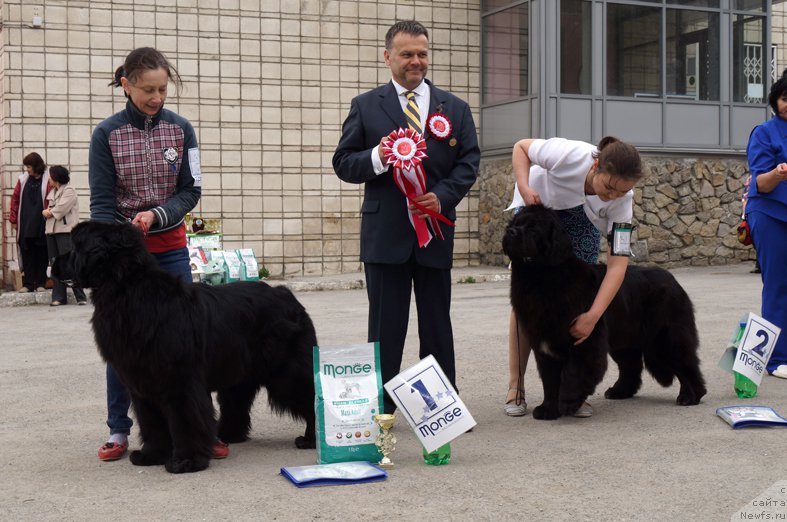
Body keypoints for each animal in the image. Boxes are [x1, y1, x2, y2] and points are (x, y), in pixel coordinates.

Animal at [52, 219, 318, 472]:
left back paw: (312, 439)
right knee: (236, 402)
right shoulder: (141, 384)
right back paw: (227, 436)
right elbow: (152, 423)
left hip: (286, 373)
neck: (127, 290)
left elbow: (184, 421)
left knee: (311, 396)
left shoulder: (179, 382)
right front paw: (152, 456)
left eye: (75, 246)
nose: (54, 261)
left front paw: (186, 462)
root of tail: (286, 294)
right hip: (239, 373)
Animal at [504, 204, 708, 418]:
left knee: (686, 364)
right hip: (626, 338)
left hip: (665, 339)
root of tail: (673, 280)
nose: (510, 232)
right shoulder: (543, 343)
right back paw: (620, 391)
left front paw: (568, 403)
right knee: (631, 365)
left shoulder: (585, 337)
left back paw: (690, 396)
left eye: (534, 229)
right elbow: (550, 380)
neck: (540, 279)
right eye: (515, 224)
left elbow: (573, 373)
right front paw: (548, 409)